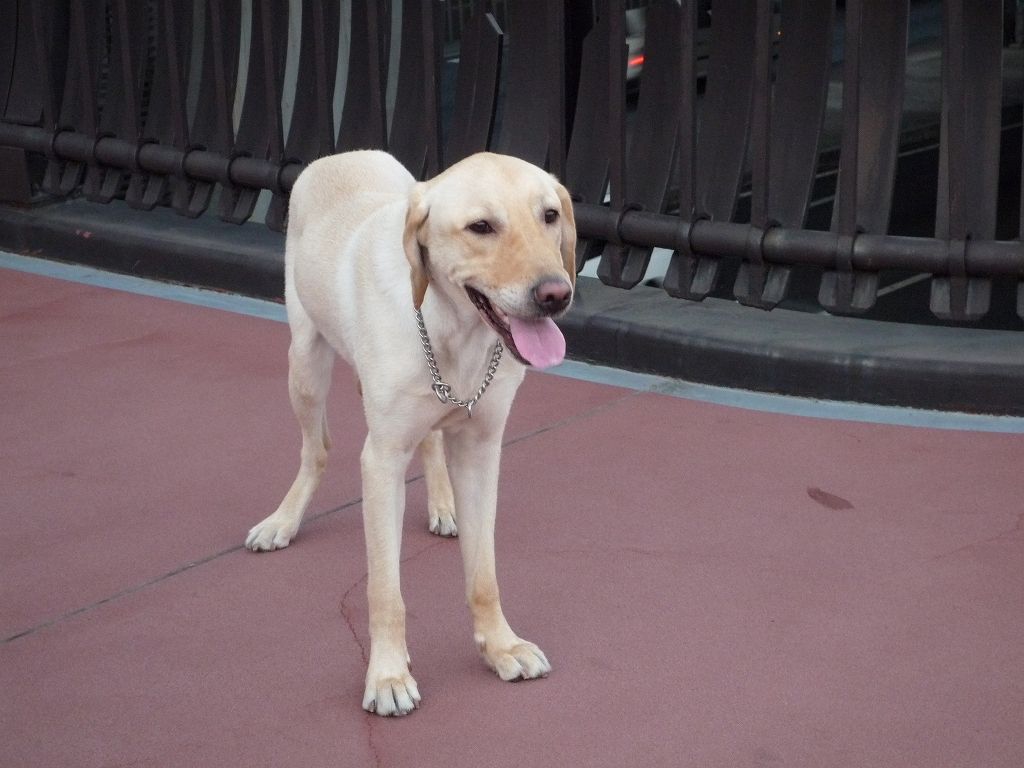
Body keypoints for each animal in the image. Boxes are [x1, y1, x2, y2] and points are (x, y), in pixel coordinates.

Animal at [245, 150, 576, 716]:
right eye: (481, 227)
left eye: (550, 215)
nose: (556, 294)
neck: (453, 330)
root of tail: (341, 154)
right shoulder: (381, 461)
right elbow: (385, 591)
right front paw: (388, 675)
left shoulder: (482, 450)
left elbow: (484, 574)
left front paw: (500, 646)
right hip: (304, 364)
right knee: (317, 449)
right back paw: (283, 520)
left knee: (432, 439)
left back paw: (444, 506)